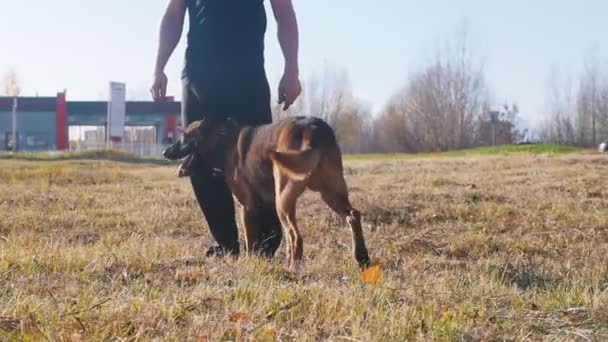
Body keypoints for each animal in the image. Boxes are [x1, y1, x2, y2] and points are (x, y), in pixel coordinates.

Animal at [162, 116, 370, 272]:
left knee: (296, 236)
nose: (165, 151)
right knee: (353, 216)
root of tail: (312, 130)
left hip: (283, 200)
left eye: (185, 136)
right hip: (330, 194)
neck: (224, 142)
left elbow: (250, 241)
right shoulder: (266, 204)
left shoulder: (247, 207)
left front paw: (249, 262)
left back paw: (294, 269)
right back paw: (361, 257)